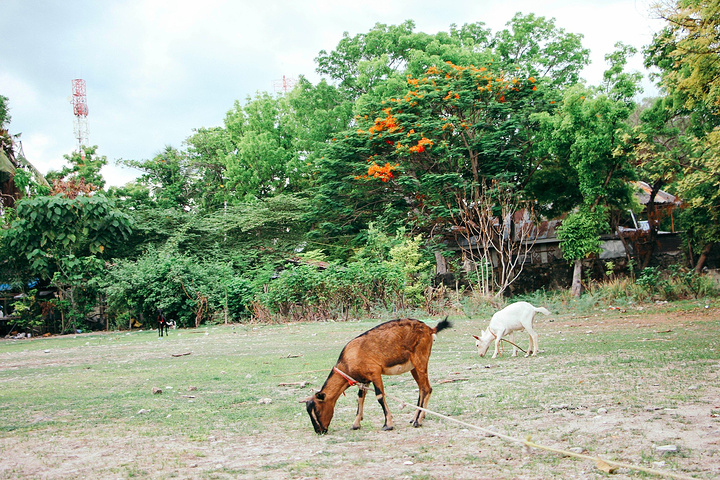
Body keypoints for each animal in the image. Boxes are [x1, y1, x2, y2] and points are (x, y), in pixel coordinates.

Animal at [302, 318, 450, 436]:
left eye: (317, 411)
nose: (319, 431)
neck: (348, 360)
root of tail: (430, 329)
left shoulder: (375, 372)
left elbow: (379, 396)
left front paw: (388, 424)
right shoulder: (364, 379)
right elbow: (360, 398)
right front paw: (356, 424)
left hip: (420, 360)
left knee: (427, 388)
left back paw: (418, 421)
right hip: (413, 366)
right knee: (422, 388)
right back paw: (415, 418)